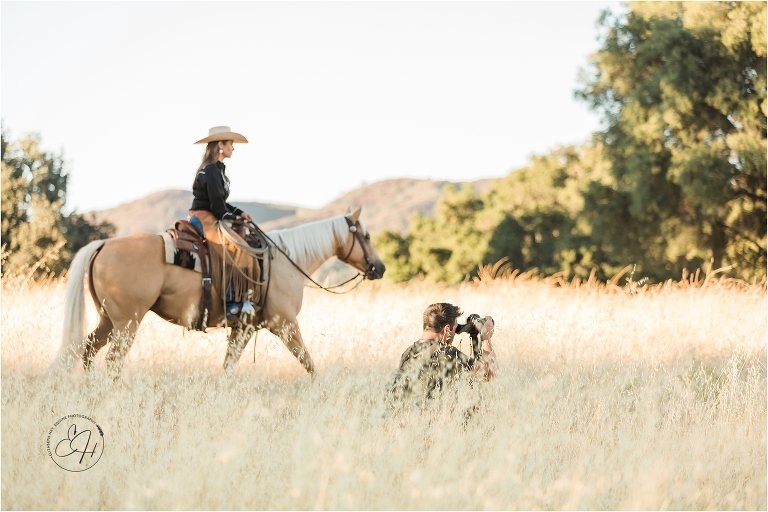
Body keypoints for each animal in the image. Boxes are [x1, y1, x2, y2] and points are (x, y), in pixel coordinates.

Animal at [46, 207, 385, 378]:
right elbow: (309, 363)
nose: (379, 268)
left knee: (88, 351)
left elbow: (228, 366)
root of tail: (103, 244)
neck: (287, 259)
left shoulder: (244, 329)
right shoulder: (285, 324)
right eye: (367, 236)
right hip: (127, 323)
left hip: (109, 320)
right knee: (113, 361)